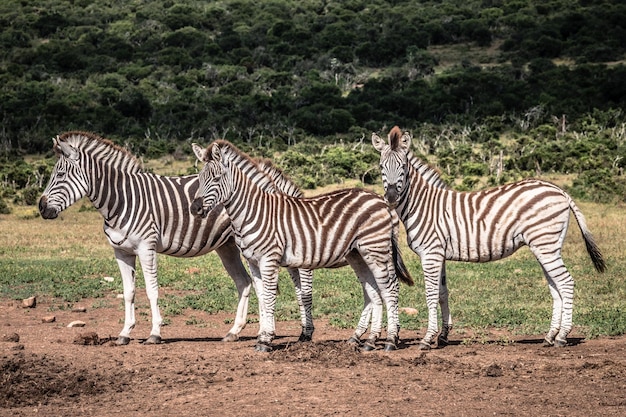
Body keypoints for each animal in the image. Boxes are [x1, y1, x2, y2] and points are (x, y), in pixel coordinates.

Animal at [37, 131, 310, 344]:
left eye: (59, 176)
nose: (41, 208)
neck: (121, 199)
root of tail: (265, 179)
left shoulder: (146, 247)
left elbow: (151, 290)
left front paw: (154, 333)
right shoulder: (121, 251)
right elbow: (128, 292)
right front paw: (124, 333)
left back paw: (293, 331)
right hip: (228, 245)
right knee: (244, 282)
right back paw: (234, 331)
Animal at [191, 142, 414, 352]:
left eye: (217, 178)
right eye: (200, 179)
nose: (195, 208)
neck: (253, 211)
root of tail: (380, 199)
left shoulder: (273, 259)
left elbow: (278, 297)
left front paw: (267, 339)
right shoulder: (254, 262)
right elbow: (262, 297)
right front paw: (262, 336)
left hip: (376, 250)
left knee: (389, 289)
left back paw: (390, 340)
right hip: (358, 255)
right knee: (373, 291)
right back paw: (367, 340)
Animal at [370, 125, 604, 350]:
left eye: (403, 167)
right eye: (381, 167)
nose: (391, 198)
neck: (422, 205)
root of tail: (559, 190)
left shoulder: (430, 254)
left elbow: (431, 294)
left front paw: (428, 339)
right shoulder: (439, 255)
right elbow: (443, 293)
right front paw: (443, 336)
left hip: (545, 244)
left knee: (566, 283)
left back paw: (562, 336)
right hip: (545, 246)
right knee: (556, 288)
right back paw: (550, 336)